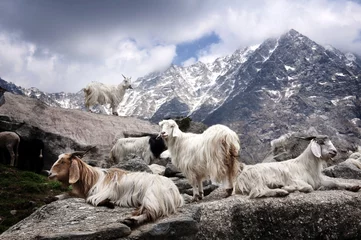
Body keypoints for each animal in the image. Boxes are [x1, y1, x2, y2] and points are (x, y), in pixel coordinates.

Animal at [47, 151, 183, 226]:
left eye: (63, 162)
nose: (49, 174)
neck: (92, 178)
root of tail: (176, 192)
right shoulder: (82, 192)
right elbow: (68, 194)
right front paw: (52, 197)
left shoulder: (100, 193)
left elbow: (92, 200)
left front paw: (110, 203)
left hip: (152, 197)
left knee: (151, 213)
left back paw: (131, 220)